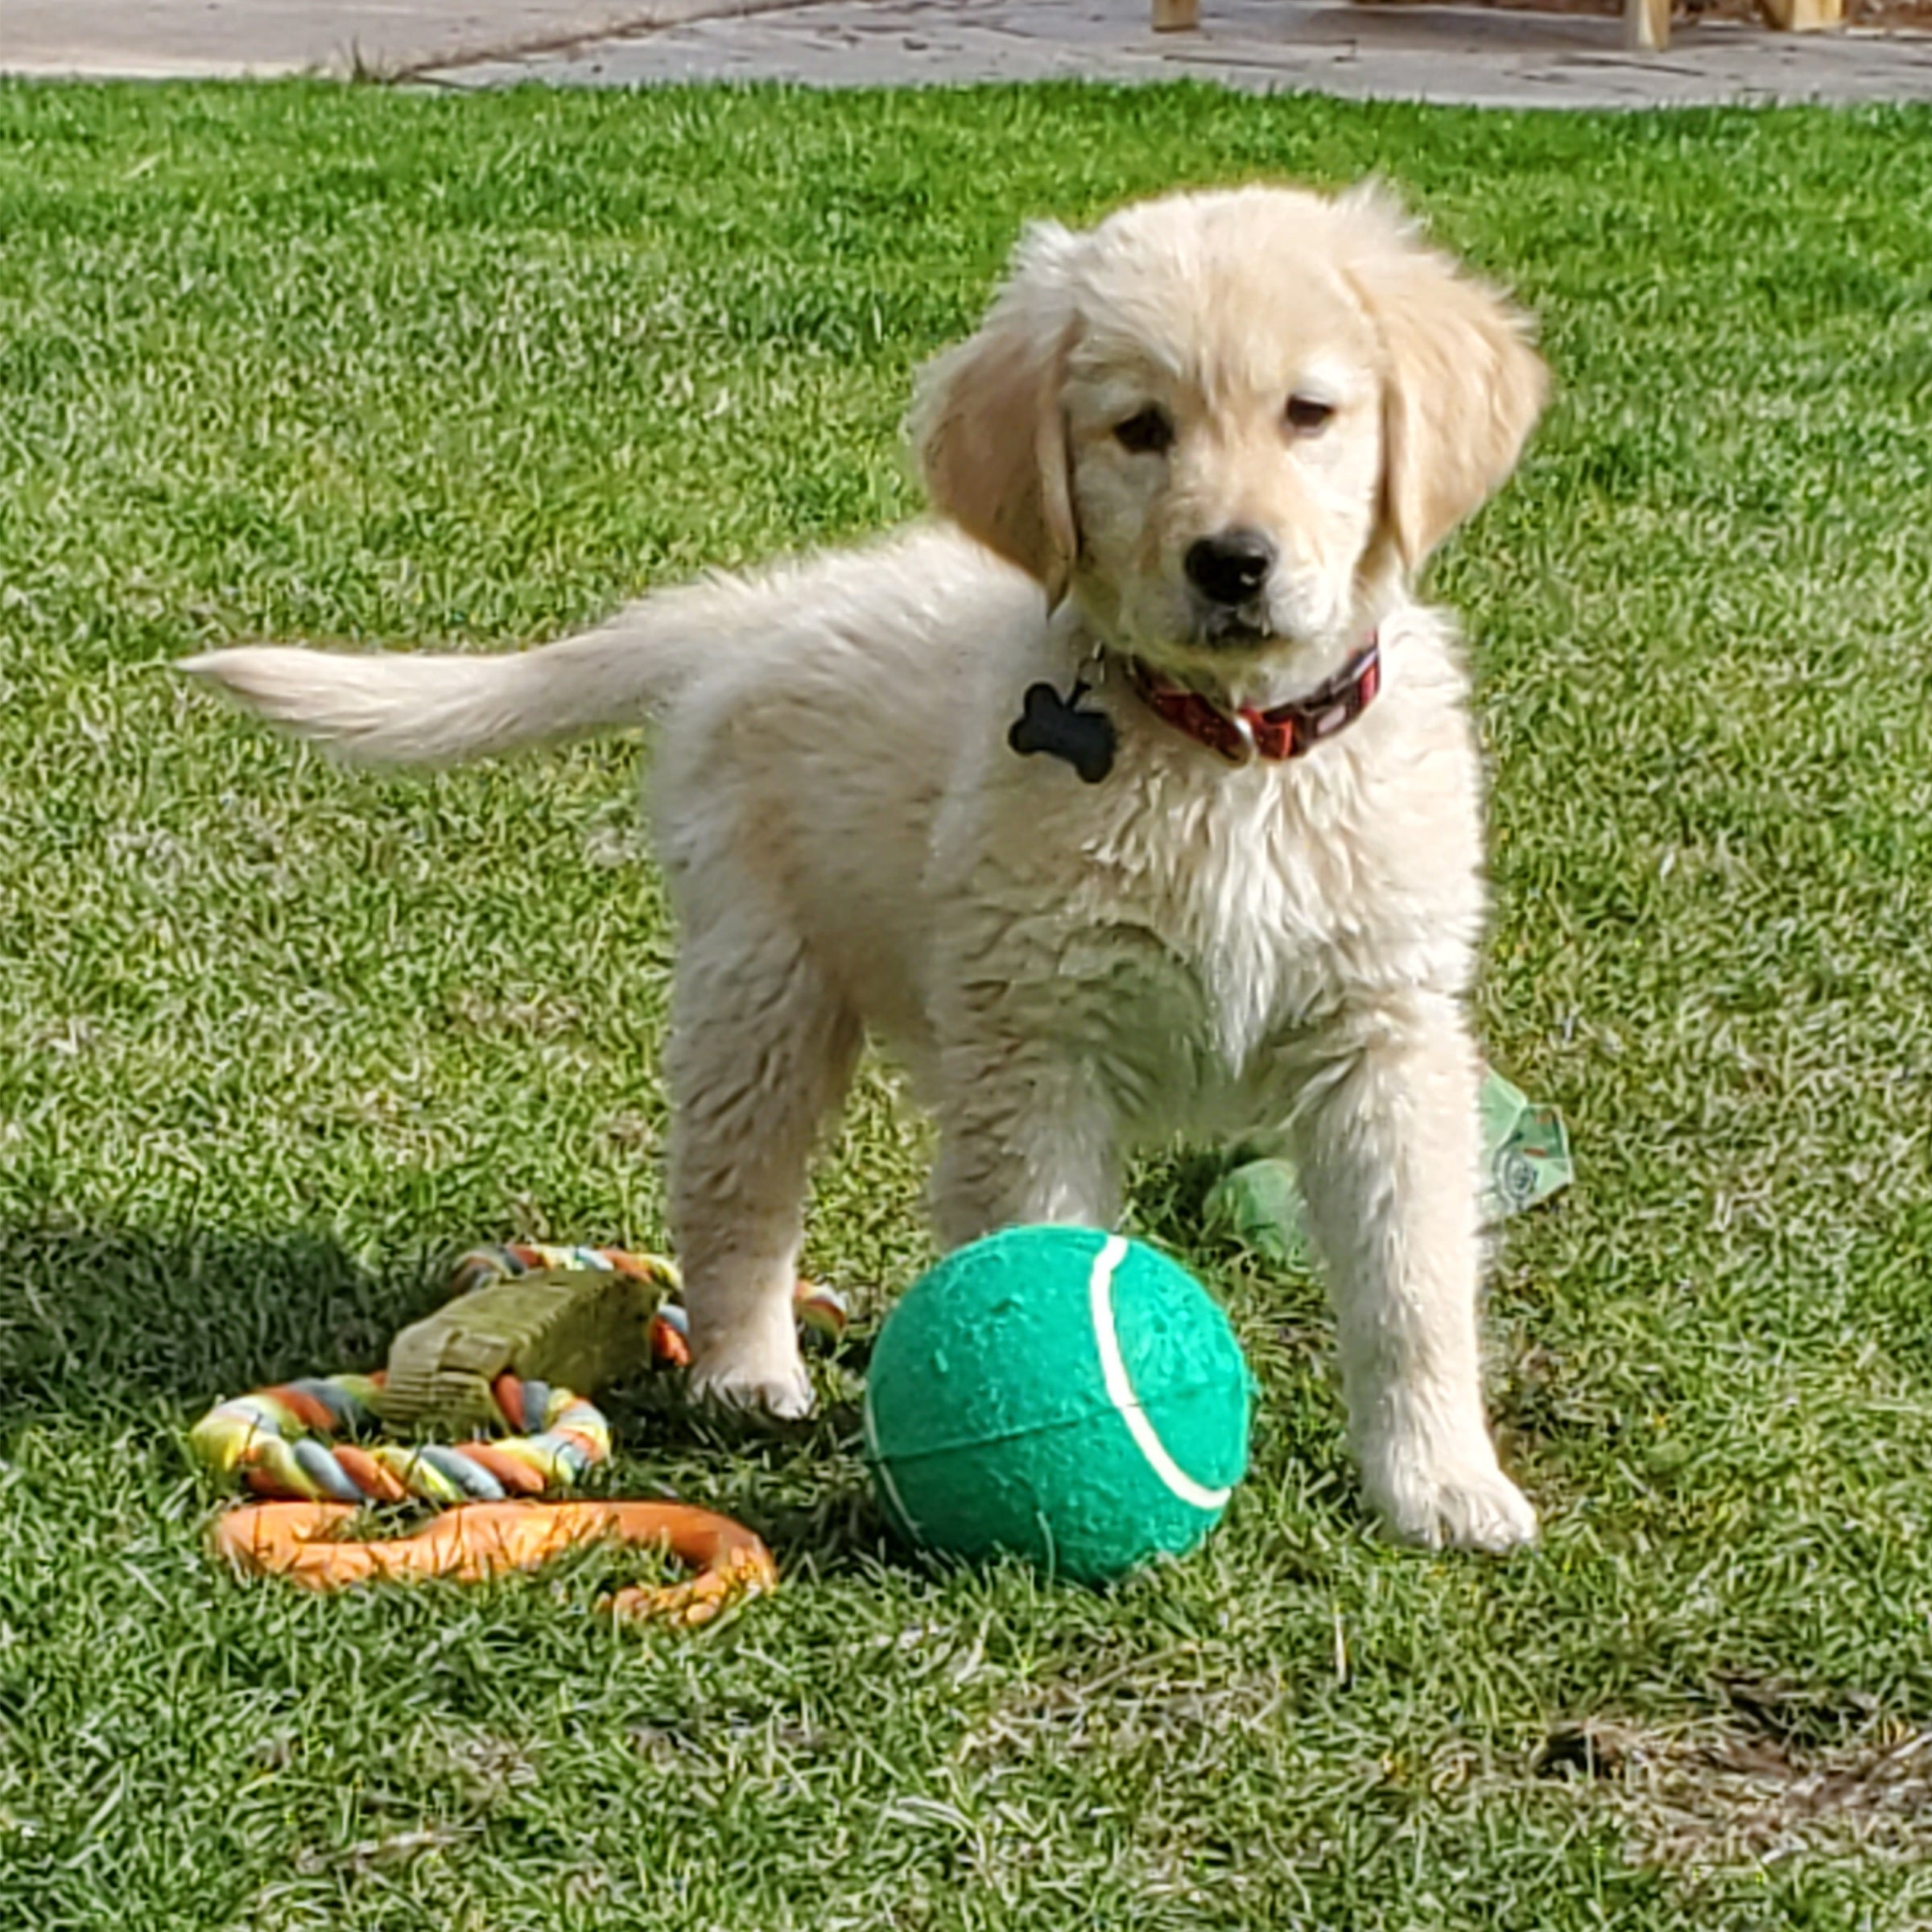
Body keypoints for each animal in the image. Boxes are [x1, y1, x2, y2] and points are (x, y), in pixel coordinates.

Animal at [192, 181, 1553, 1553]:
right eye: (1140, 430)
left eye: (1310, 414)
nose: (1232, 561)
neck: (1228, 751)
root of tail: (750, 613)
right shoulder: (1040, 1047)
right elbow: (1045, 1248)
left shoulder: (1385, 1037)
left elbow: (1412, 1282)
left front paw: (1443, 1483)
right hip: (763, 977)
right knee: (735, 1191)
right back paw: (748, 1371)